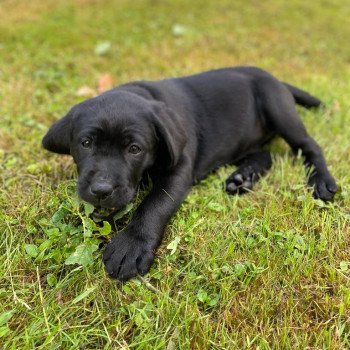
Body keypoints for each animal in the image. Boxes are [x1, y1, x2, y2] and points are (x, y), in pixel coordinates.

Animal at [42, 67, 338, 282]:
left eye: (134, 149)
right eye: (86, 143)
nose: (101, 190)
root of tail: (276, 79)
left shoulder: (180, 168)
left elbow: (155, 204)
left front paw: (132, 245)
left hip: (277, 107)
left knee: (309, 146)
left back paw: (322, 181)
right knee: (264, 155)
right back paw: (242, 178)